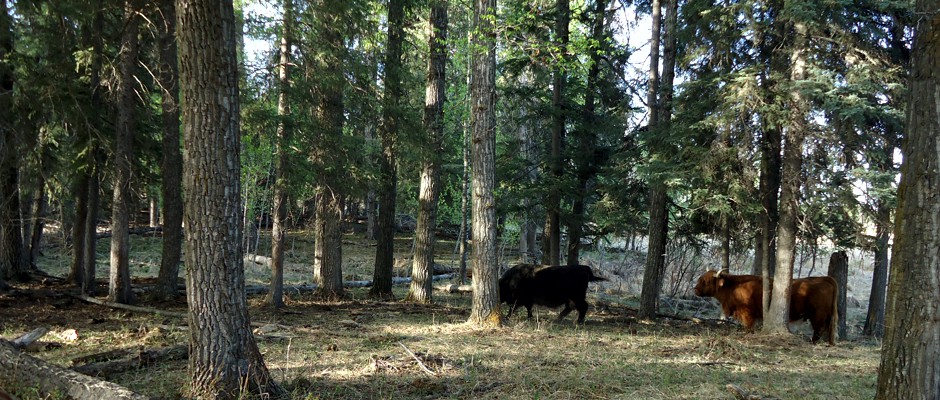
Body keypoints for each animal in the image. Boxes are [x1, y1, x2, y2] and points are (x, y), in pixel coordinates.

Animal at [692, 270, 840, 346]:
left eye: (706, 281)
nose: (695, 290)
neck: (733, 287)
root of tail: (824, 278)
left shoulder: (747, 313)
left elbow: (748, 328)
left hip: (818, 315)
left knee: (819, 329)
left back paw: (813, 342)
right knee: (828, 328)